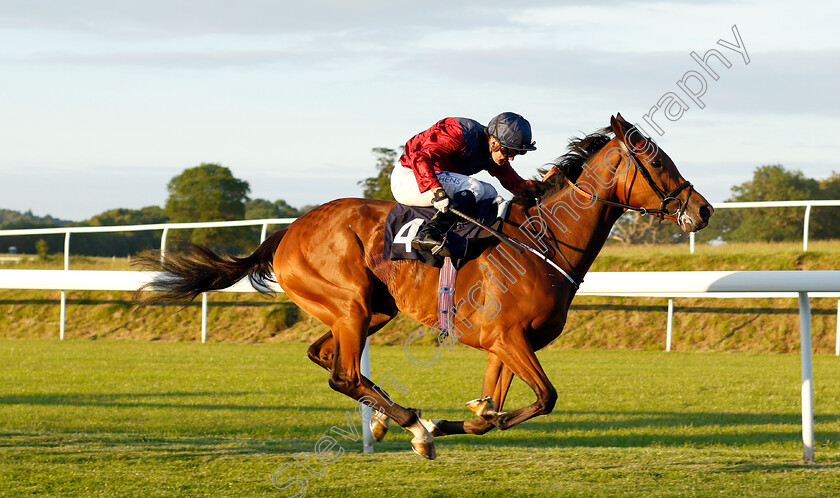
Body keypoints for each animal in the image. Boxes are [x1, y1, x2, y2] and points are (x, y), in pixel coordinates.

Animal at [136, 114, 708, 460]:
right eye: (658, 161)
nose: (702, 210)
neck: (540, 243)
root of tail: (288, 230)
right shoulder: (508, 338)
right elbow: (545, 398)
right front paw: (431, 428)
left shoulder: (505, 345)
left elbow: (489, 414)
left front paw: (454, 421)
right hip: (349, 303)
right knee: (343, 374)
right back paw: (408, 421)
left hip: (370, 310)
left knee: (325, 357)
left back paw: (391, 422)